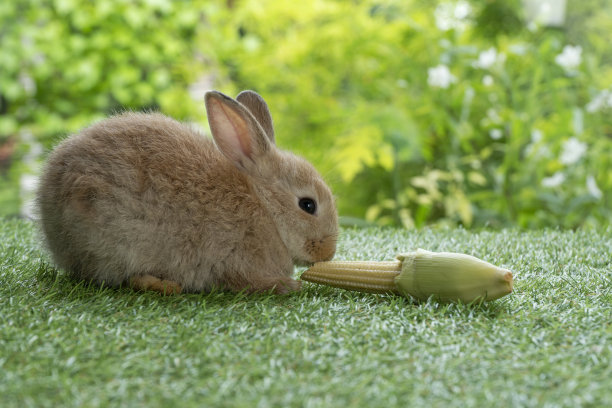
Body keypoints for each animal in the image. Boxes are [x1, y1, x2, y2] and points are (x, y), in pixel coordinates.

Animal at [37, 90, 340, 294]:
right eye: (308, 205)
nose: (328, 253)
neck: (266, 208)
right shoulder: (235, 261)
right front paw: (289, 286)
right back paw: (165, 286)